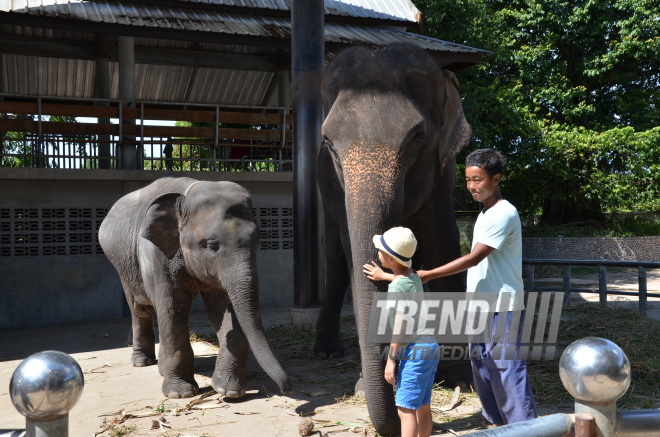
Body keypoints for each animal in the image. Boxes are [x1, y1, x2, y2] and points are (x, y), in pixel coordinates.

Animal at [98, 176, 292, 398]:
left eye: (258, 241)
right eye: (212, 245)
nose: (286, 388)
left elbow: (222, 308)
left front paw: (230, 391)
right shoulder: (158, 254)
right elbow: (173, 308)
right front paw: (180, 394)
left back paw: (162, 368)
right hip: (123, 265)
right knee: (141, 308)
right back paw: (141, 362)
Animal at [314, 43, 470, 432]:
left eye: (418, 138)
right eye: (329, 143)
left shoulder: (442, 173)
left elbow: (443, 244)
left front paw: (461, 376)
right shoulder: (337, 187)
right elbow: (353, 257)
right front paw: (360, 385)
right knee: (335, 258)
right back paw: (327, 351)